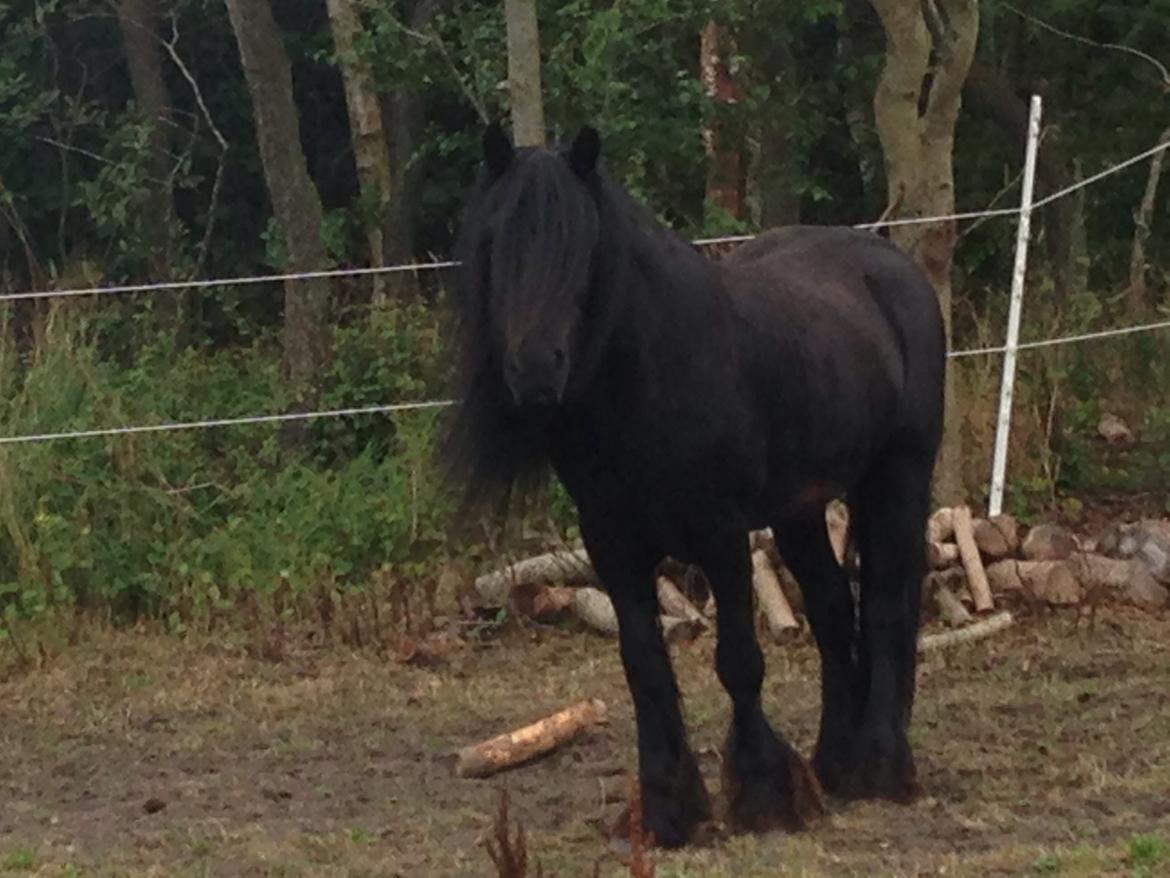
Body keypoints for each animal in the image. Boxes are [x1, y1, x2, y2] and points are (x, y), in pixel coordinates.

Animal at [444, 123, 945, 848]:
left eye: (583, 247)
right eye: (496, 242)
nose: (536, 371)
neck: (650, 382)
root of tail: (895, 269)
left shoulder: (721, 536)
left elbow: (739, 661)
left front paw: (762, 794)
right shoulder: (613, 549)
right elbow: (645, 668)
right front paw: (668, 809)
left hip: (897, 477)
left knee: (882, 607)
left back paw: (880, 765)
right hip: (799, 511)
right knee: (830, 610)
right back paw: (835, 763)